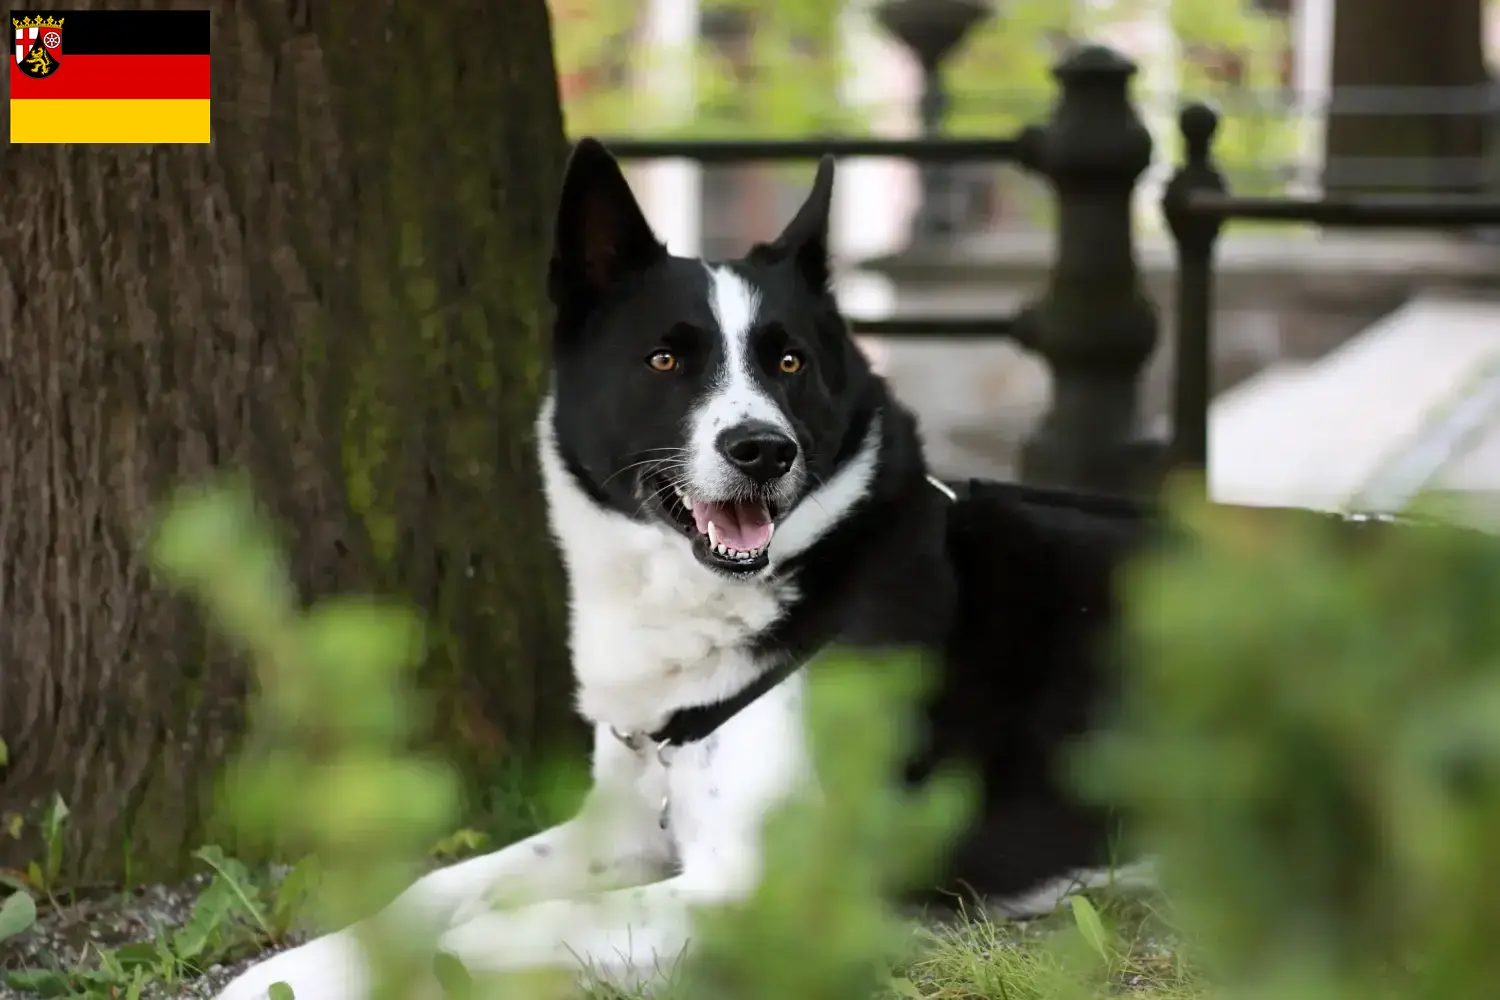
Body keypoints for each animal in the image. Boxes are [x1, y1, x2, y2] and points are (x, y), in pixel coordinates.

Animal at [225, 142, 1158, 1000]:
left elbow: (492, 931)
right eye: (665, 360)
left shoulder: (771, 896)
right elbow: (429, 893)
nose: (762, 450)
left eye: (789, 362)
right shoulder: (620, 828)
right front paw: (302, 969)